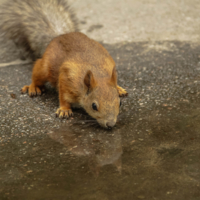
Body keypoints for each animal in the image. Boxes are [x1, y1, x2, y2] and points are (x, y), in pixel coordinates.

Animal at [0, 0, 128, 128]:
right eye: (94, 106)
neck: (98, 73)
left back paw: (119, 88)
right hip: (44, 69)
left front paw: (118, 88)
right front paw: (64, 110)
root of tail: (58, 36)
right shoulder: (67, 79)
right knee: (37, 73)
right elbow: (63, 96)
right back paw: (33, 87)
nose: (110, 124)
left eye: (120, 103)